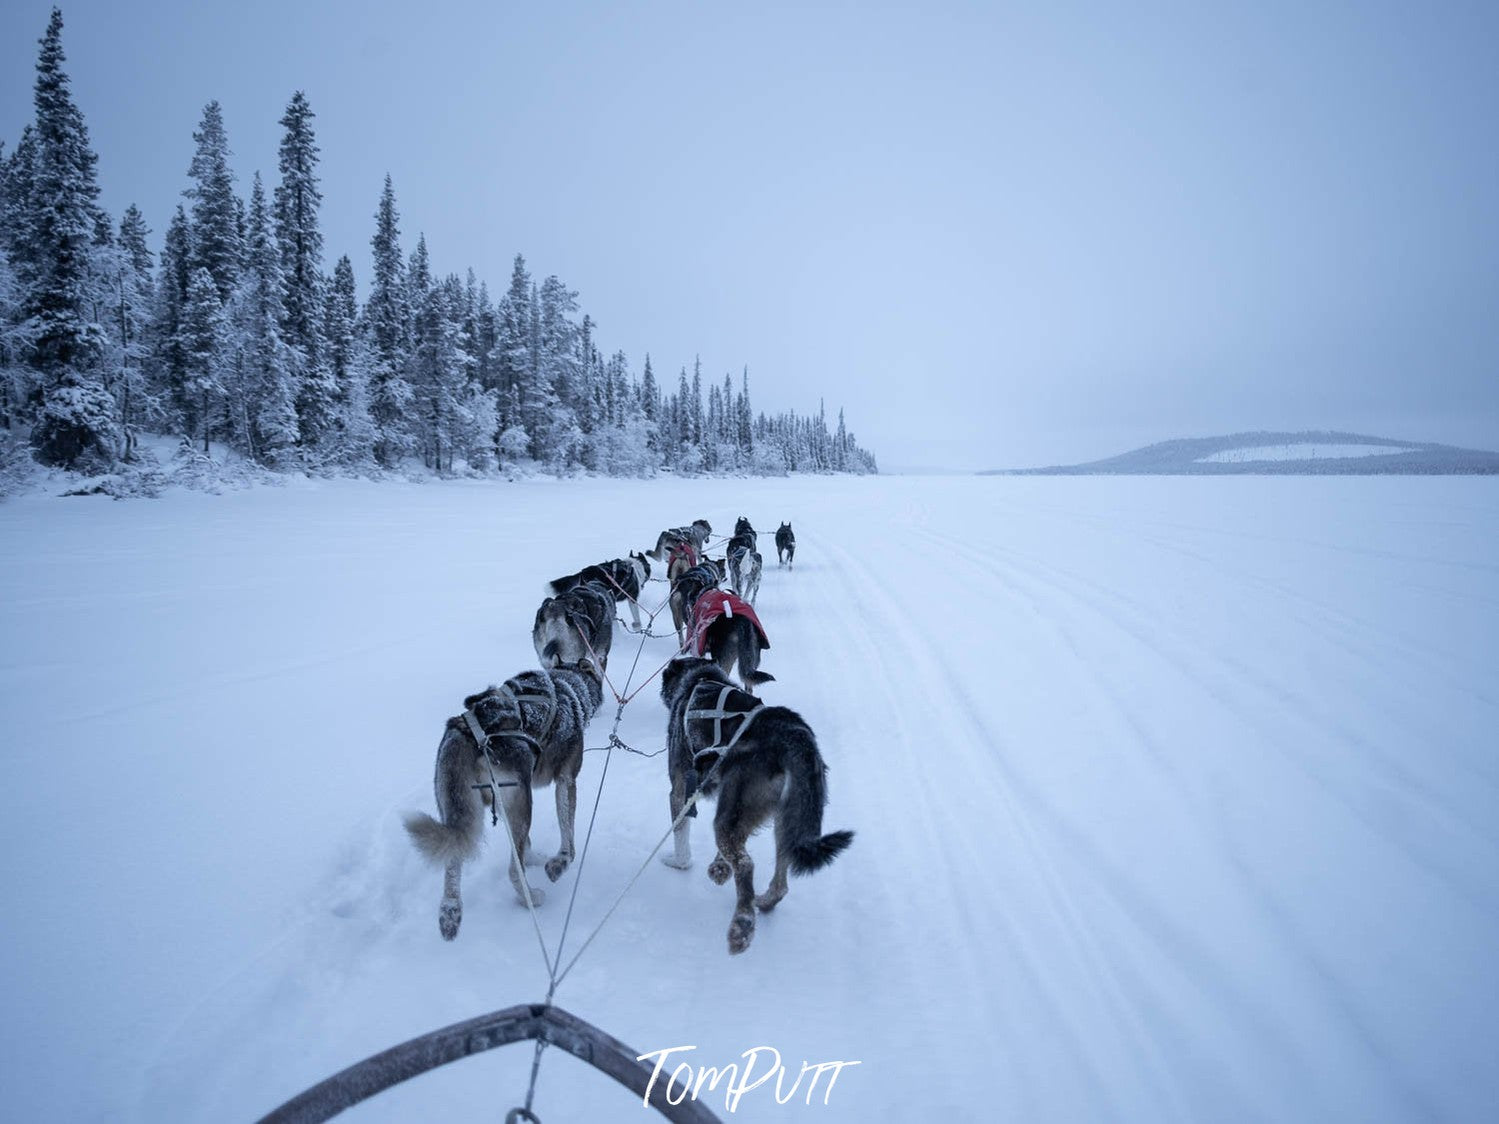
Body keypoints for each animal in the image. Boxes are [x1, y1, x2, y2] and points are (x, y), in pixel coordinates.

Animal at [407, 659, 605, 941]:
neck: (569, 686)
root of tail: (468, 731)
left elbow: (523, 845)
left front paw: (532, 856)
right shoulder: (566, 780)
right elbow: (568, 836)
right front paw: (559, 863)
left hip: (459, 803)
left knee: (455, 855)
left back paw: (450, 913)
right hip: (522, 801)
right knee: (513, 871)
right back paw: (530, 898)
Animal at [659, 659, 857, 959]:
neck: (698, 680)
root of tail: (794, 739)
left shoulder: (681, 789)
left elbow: (681, 833)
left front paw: (679, 862)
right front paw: (719, 867)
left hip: (735, 811)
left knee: (745, 864)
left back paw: (742, 926)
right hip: (783, 818)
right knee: (780, 882)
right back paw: (761, 901)